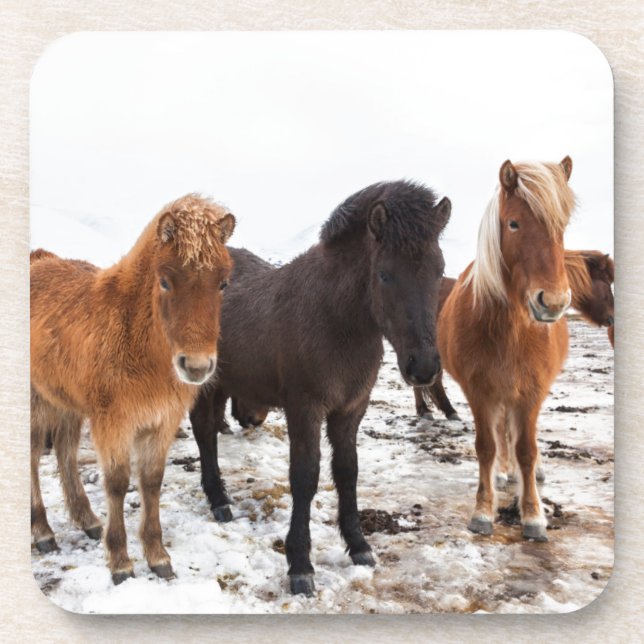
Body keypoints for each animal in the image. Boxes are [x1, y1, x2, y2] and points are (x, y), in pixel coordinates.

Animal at [31, 195, 235, 584]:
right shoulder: (114, 423)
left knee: (64, 450)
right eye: (165, 281)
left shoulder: (161, 422)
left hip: (66, 402)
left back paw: (87, 520)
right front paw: (121, 562)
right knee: (34, 456)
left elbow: (151, 481)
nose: (196, 366)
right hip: (37, 402)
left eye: (222, 284)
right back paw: (43, 532)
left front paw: (157, 556)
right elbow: (117, 483)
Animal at [189, 181, 451, 596]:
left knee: (212, 428)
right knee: (203, 432)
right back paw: (219, 501)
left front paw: (359, 546)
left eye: (439, 271)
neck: (335, 319)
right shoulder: (304, 408)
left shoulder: (351, 409)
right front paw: (300, 564)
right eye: (385, 275)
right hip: (205, 383)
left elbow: (347, 471)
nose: (423, 367)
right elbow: (305, 476)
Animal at [437, 157, 576, 542]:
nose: (553, 302)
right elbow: (487, 446)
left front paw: (533, 515)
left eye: (562, 225)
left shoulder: (531, 392)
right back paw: (503, 471)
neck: (511, 331)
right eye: (514, 223)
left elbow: (526, 450)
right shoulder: (480, 391)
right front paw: (483, 511)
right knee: (501, 436)